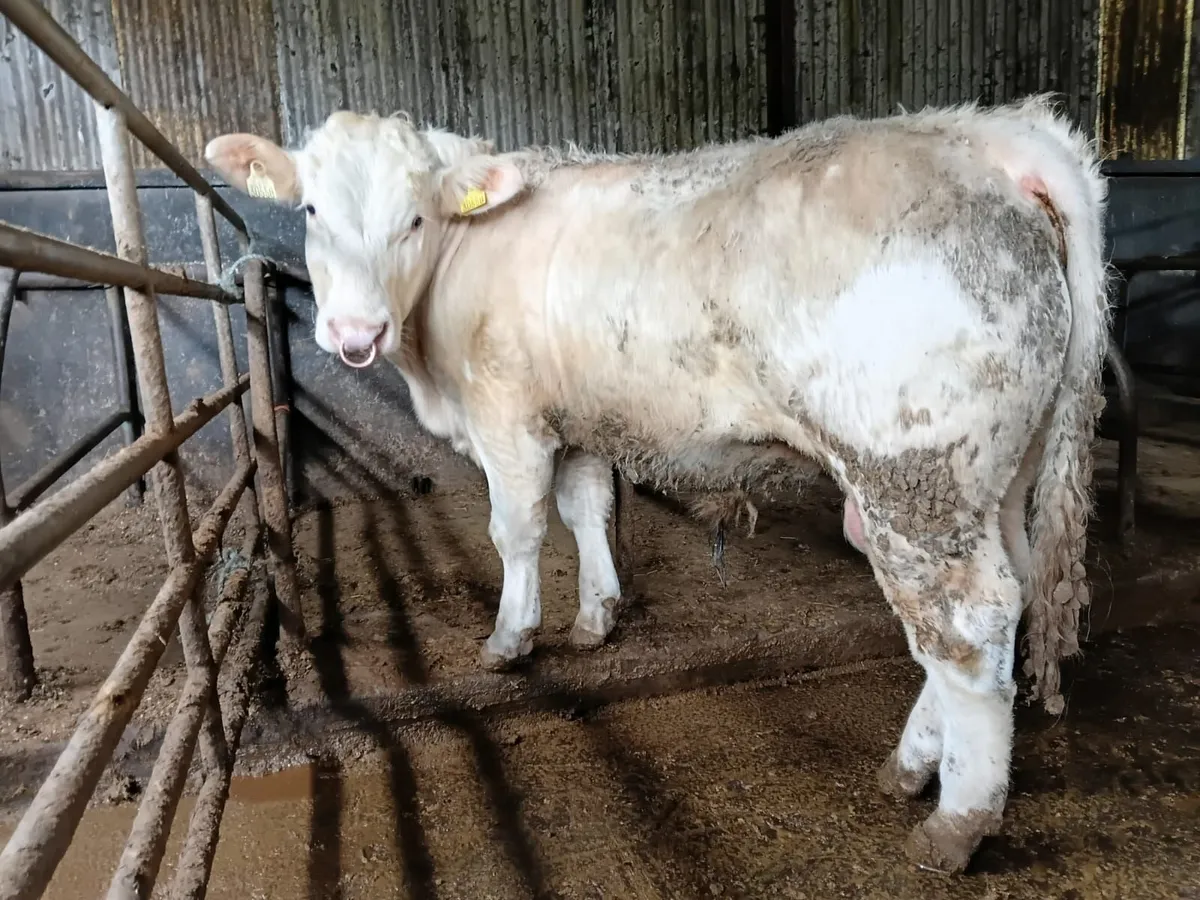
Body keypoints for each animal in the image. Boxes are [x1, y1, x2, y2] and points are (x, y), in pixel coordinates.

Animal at [206, 94, 1108, 872]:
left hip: (912, 474)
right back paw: (916, 766)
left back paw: (957, 821)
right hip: (992, 475)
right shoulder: (576, 417)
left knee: (966, 625)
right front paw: (595, 617)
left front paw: (510, 639)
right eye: (313, 212)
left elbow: (518, 529)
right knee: (995, 603)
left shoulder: (507, 415)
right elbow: (585, 509)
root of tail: (988, 134)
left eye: (415, 217)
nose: (353, 333)